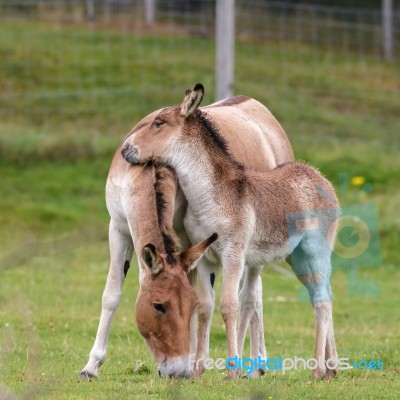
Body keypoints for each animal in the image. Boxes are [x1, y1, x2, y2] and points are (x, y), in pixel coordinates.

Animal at [79, 157, 216, 378]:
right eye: (158, 306)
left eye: (191, 304)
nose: (179, 371)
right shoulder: (117, 230)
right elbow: (111, 296)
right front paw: (91, 367)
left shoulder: (184, 235)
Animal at [121, 83, 338, 378]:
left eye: (158, 123)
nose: (124, 149)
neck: (210, 197)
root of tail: (319, 176)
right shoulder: (205, 256)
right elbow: (205, 307)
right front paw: (198, 369)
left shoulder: (233, 255)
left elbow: (228, 306)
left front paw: (232, 370)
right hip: (298, 257)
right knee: (320, 295)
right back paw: (331, 367)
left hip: (316, 251)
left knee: (323, 300)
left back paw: (317, 369)